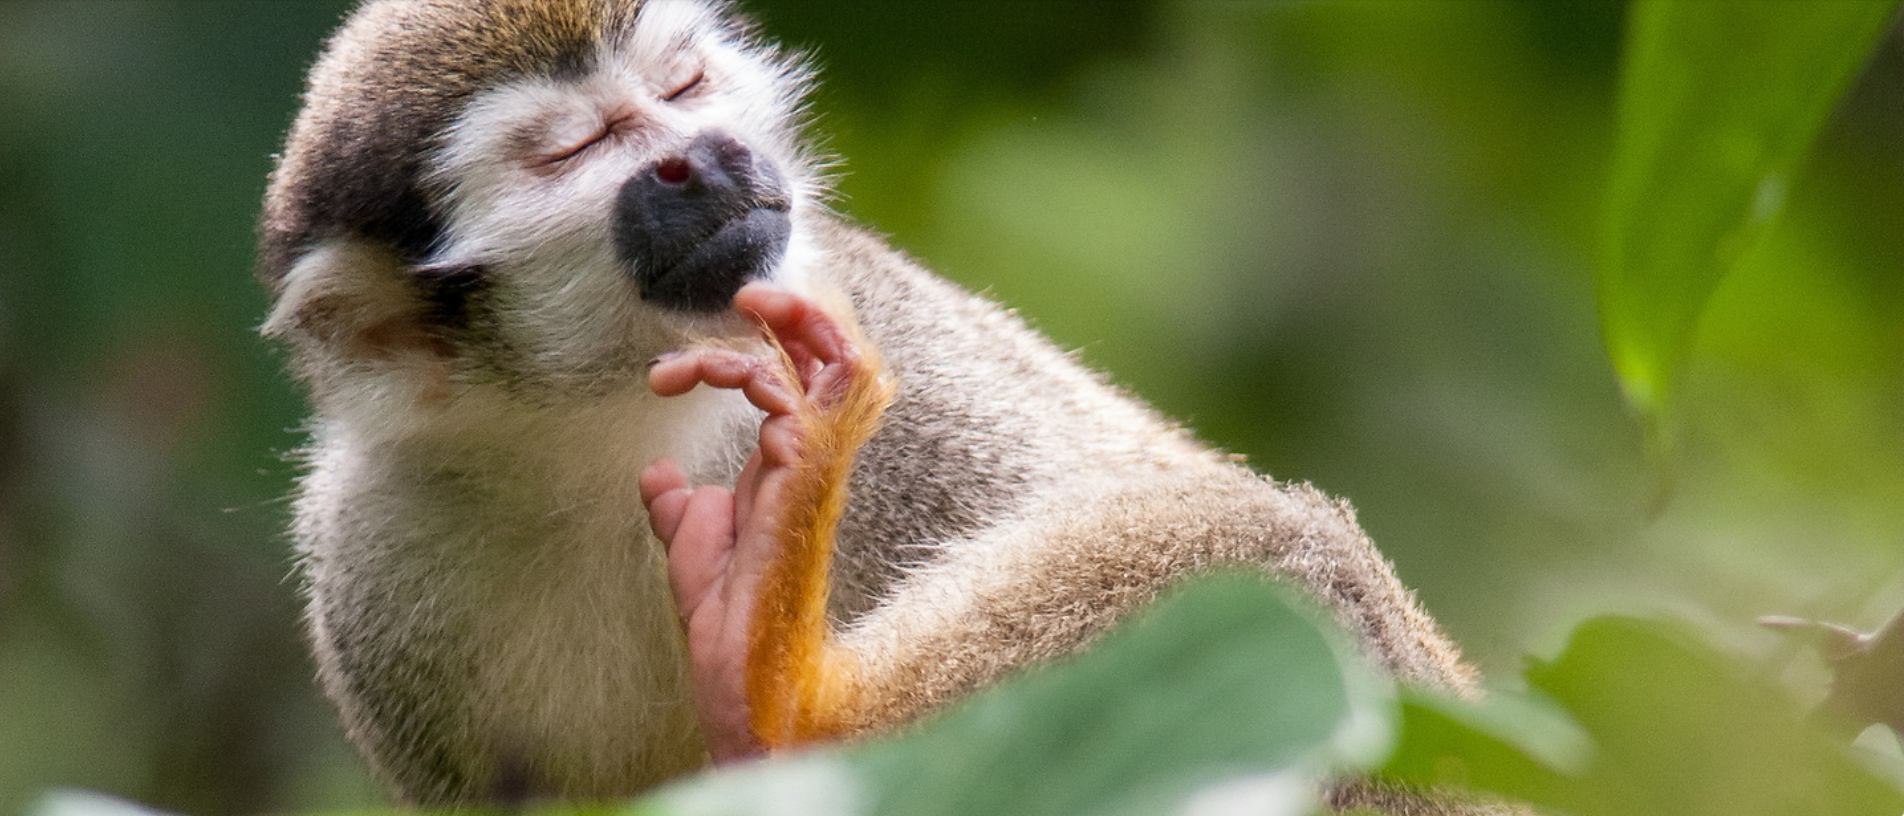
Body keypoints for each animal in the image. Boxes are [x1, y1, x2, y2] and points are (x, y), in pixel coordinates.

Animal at [258, 0, 1491, 812]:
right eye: (574, 148)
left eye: (680, 89)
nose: (704, 157)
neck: (607, 422)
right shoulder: (377, 567)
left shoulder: (879, 339)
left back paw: (789, 700)